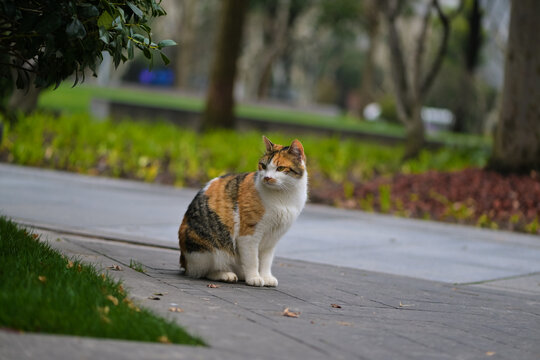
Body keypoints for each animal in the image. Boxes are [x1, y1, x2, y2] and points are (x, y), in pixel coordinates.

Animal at [179, 135, 308, 286]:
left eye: (281, 168)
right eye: (263, 166)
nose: (267, 177)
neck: (283, 197)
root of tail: (184, 262)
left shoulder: (272, 238)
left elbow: (266, 260)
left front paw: (266, 277)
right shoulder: (248, 234)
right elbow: (253, 260)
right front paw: (254, 278)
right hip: (210, 250)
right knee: (205, 271)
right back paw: (226, 274)